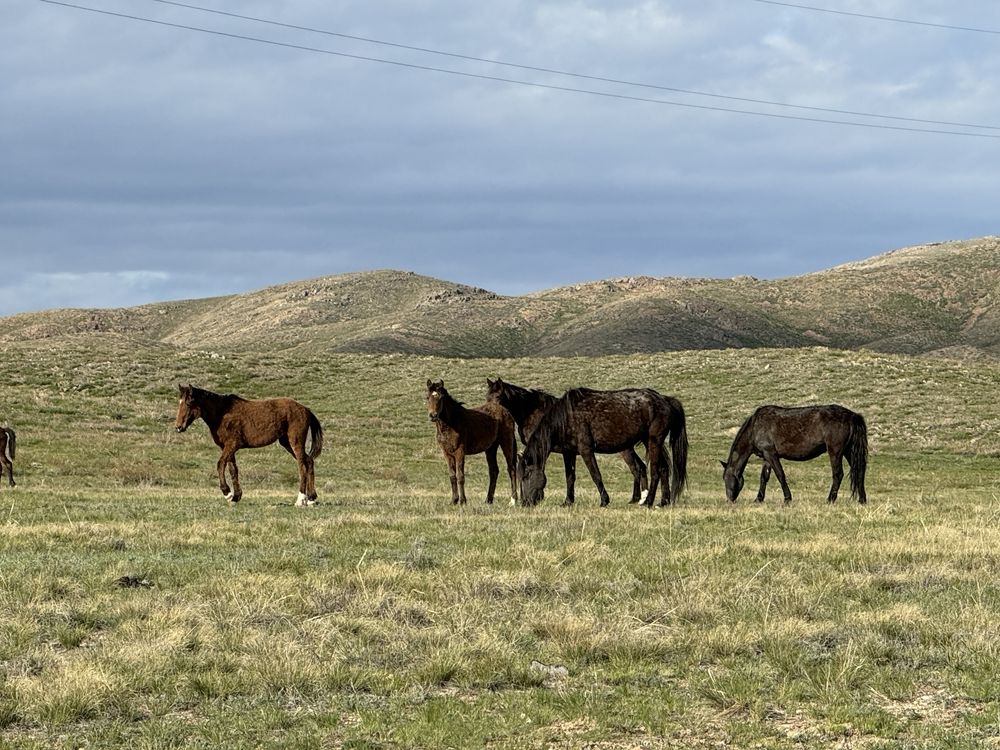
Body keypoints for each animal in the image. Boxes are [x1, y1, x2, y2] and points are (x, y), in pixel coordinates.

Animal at [173, 384, 324, 508]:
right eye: (179, 402)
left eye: (188, 403)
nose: (178, 427)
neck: (222, 413)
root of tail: (305, 409)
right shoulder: (227, 448)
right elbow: (233, 470)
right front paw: (235, 497)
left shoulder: (232, 445)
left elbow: (220, 464)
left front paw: (227, 493)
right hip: (286, 443)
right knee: (309, 461)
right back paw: (311, 499)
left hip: (295, 442)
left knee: (302, 466)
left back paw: (300, 500)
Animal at [426, 378, 520, 508]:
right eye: (427, 397)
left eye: (440, 397)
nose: (433, 415)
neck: (452, 423)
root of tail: (505, 411)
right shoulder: (447, 453)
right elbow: (452, 476)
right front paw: (453, 500)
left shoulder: (460, 451)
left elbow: (460, 476)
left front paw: (462, 501)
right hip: (491, 448)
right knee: (494, 471)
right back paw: (488, 500)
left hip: (506, 442)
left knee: (511, 468)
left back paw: (513, 500)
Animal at [486, 378, 656, 508]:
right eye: (487, 397)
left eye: (499, 397)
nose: (491, 410)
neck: (531, 411)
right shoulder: (566, 451)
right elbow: (570, 476)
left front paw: (541, 496)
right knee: (640, 467)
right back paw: (638, 499)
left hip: (625, 449)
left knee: (636, 468)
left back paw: (639, 499)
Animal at [516, 388, 688, 512]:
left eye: (526, 475)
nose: (525, 503)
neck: (566, 417)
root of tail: (665, 399)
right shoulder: (569, 453)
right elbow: (570, 477)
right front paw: (568, 501)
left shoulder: (586, 451)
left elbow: (596, 475)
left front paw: (604, 500)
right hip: (649, 442)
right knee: (664, 468)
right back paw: (663, 502)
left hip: (654, 441)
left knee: (656, 471)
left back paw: (648, 502)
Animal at [720, 406, 868, 506]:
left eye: (726, 478)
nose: (729, 500)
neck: (755, 427)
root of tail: (852, 415)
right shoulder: (766, 457)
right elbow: (764, 477)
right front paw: (758, 499)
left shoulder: (771, 454)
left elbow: (780, 475)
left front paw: (787, 499)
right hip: (849, 451)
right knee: (860, 472)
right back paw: (862, 500)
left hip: (835, 451)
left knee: (838, 474)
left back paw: (830, 499)